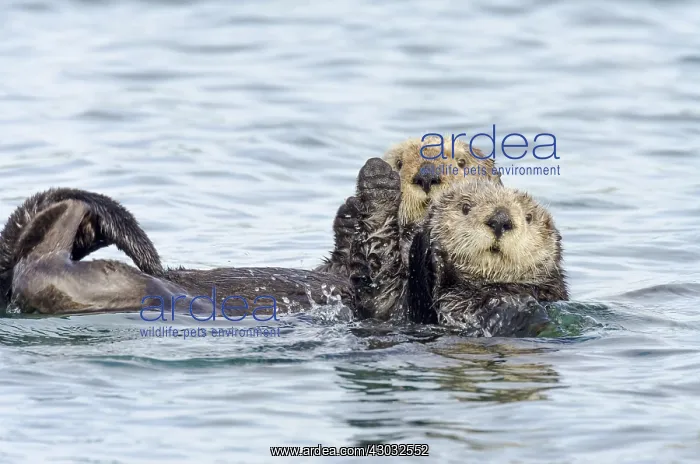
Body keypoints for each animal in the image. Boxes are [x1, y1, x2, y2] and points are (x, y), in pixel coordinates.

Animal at [346, 158, 568, 336]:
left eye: (529, 217)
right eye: (465, 207)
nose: (500, 219)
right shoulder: (395, 308)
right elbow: (382, 290)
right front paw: (378, 178)